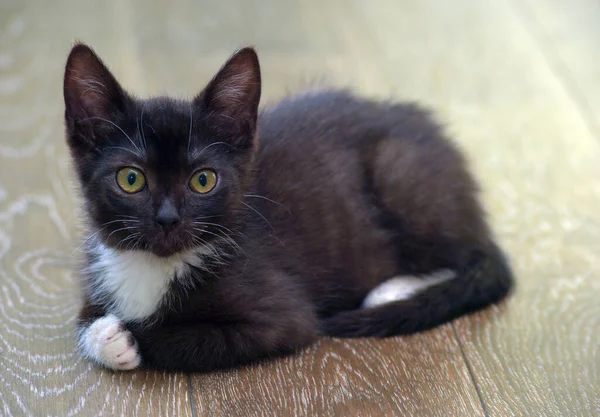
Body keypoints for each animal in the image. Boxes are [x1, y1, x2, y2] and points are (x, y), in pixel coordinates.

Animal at [63, 43, 512, 370]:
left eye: (203, 180)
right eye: (131, 179)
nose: (168, 219)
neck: (156, 265)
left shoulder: (282, 317)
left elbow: (187, 338)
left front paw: (129, 336)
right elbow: (83, 319)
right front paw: (105, 335)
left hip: (399, 172)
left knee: (475, 260)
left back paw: (392, 291)